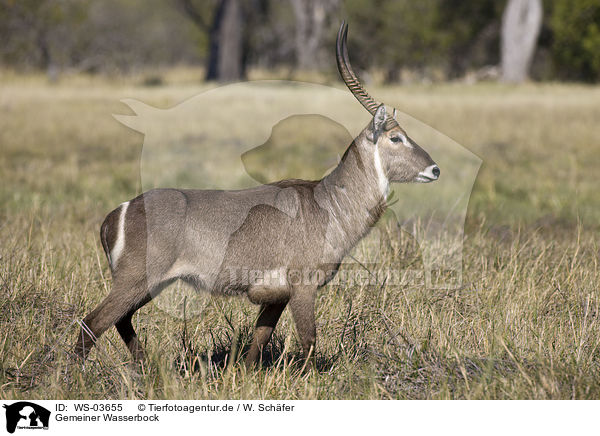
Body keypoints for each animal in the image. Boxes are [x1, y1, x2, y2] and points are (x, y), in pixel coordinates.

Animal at [75, 23, 440, 364]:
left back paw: (148, 368)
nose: (435, 169)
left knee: (120, 321)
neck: (329, 202)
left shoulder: (275, 296)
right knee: (92, 323)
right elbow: (309, 340)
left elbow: (259, 341)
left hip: (150, 284)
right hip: (135, 280)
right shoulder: (303, 286)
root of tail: (118, 213)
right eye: (396, 138)